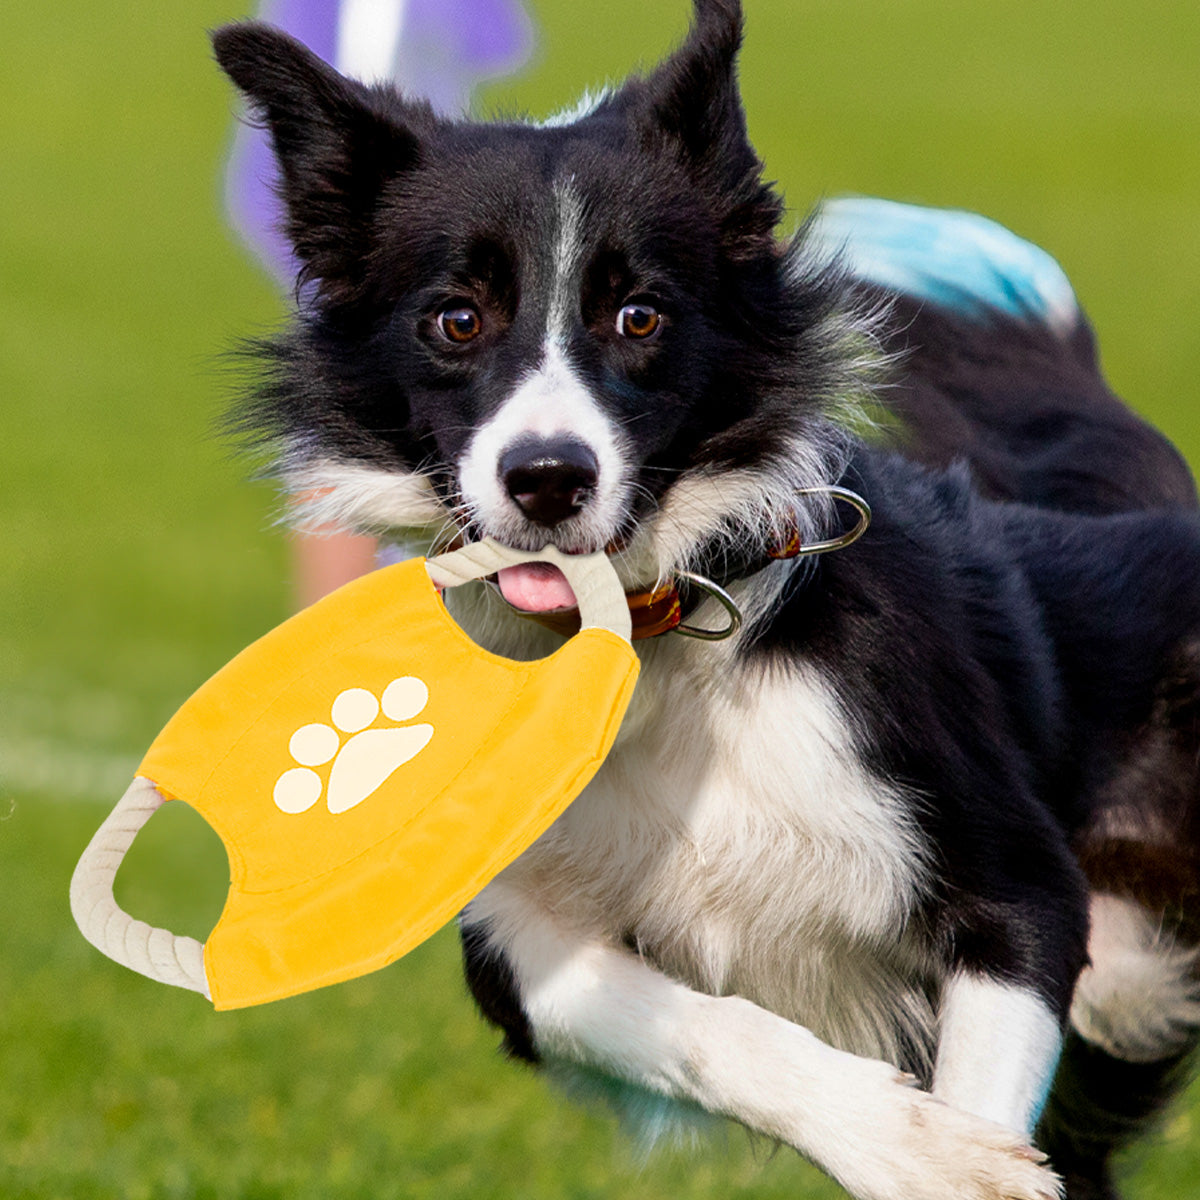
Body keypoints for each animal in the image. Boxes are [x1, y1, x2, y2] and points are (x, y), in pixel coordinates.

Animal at [213, 4, 1200, 1195]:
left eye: (640, 316)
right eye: (455, 319)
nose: (549, 477)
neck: (648, 640)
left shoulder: (1013, 872)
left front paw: (955, 1160)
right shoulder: (512, 944)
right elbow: (690, 1027)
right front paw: (912, 1145)